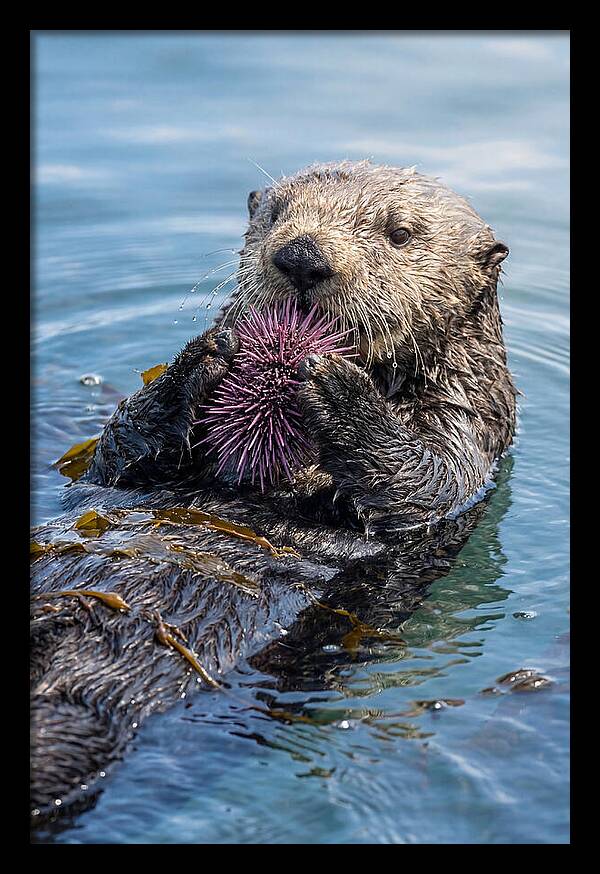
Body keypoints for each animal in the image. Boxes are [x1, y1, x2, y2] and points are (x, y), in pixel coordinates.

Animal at [31, 161, 516, 825]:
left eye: (399, 233)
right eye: (276, 214)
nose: (302, 257)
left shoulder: (469, 428)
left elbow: (426, 484)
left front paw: (337, 387)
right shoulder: (122, 469)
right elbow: (116, 453)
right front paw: (204, 356)